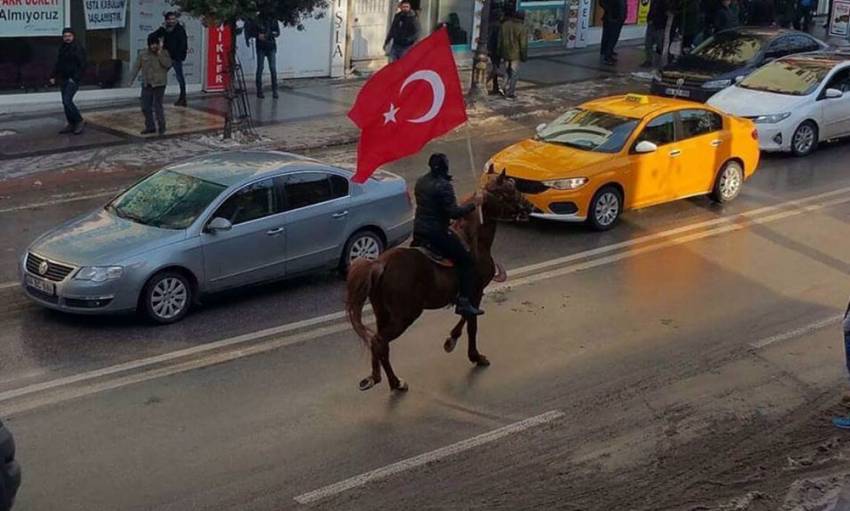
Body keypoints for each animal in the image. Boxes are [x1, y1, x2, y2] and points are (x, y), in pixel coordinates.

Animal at [344, 170, 528, 394]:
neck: (474, 240)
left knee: (379, 344)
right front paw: (473, 355)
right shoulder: (475, 293)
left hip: (383, 314)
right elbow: (471, 323)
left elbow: (465, 317)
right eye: (509, 189)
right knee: (379, 342)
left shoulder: (468, 295)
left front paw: (452, 341)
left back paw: (386, 379)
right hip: (404, 316)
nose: (528, 207)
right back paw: (392, 381)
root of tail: (379, 264)